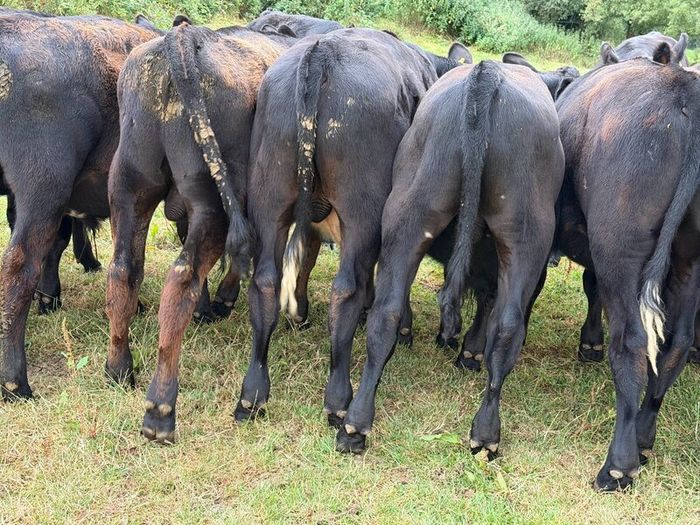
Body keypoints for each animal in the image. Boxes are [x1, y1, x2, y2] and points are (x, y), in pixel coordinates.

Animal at [231, 27, 471, 431]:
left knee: (265, 282)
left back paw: (253, 393)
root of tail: (322, 52)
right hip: (362, 213)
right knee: (345, 290)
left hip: (269, 198)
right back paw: (338, 399)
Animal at [332, 56, 573, 454]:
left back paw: (355, 424)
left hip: (410, 213)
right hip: (527, 236)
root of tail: (486, 74)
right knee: (507, 325)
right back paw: (486, 432)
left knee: (388, 312)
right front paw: (469, 352)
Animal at [554, 37, 699, 490]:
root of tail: (683, 89)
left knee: (633, 343)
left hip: (618, 244)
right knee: (675, 343)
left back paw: (618, 464)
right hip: (688, 259)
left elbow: (592, 286)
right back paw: (644, 437)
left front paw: (590, 342)